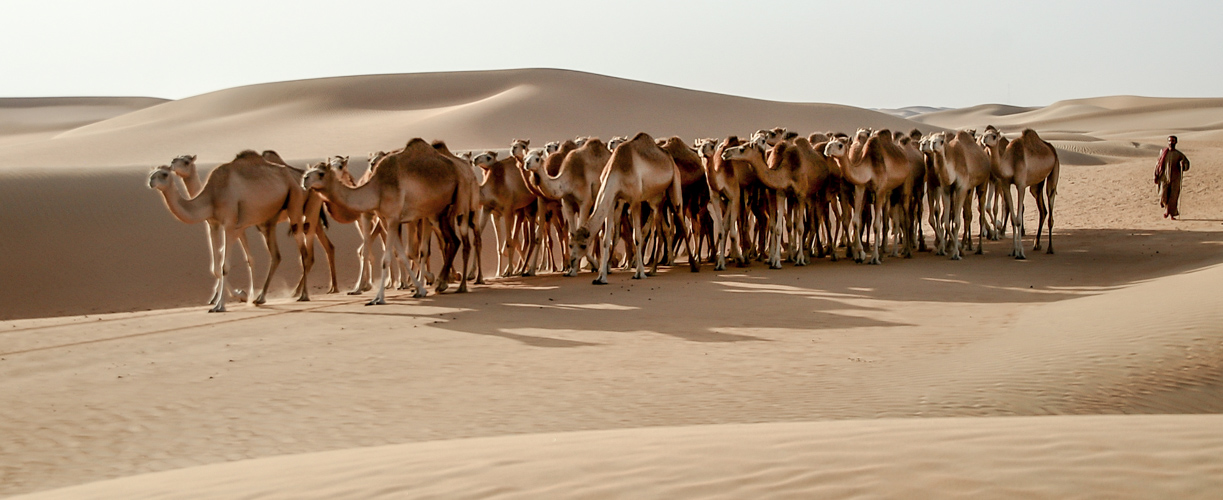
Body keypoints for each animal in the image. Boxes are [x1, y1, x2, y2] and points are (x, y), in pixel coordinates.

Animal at [149, 149, 313, 309]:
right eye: (152, 172)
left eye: (164, 174)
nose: (150, 181)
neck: (212, 195)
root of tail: (296, 177)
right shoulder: (214, 224)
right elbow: (216, 267)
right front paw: (230, 297)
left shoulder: (230, 223)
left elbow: (225, 265)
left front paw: (223, 303)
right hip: (269, 219)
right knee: (277, 255)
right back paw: (262, 298)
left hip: (295, 202)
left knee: (304, 253)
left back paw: (303, 295)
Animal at [303, 137, 474, 304]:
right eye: (308, 171)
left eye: (321, 173)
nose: (304, 179)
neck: (377, 188)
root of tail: (462, 168)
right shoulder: (386, 219)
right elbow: (402, 254)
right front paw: (420, 290)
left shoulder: (392, 218)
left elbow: (386, 258)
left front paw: (378, 298)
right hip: (438, 211)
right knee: (452, 241)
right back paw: (441, 282)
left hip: (458, 200)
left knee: (455, 240)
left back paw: (448, 283)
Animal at [565, 130, 694, 282]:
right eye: (571, 244)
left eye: (583, 245)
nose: (572, 260)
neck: (618, 171)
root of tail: (669, 158)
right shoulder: (612, 200)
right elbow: (606, 239)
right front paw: (601, 277)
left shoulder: (635, 201)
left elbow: (636, 236)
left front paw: (639, 273)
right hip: (656, 198)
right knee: (663, 226)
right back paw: (654, 269)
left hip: (675, 184)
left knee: (680, 218)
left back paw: (693, 265)